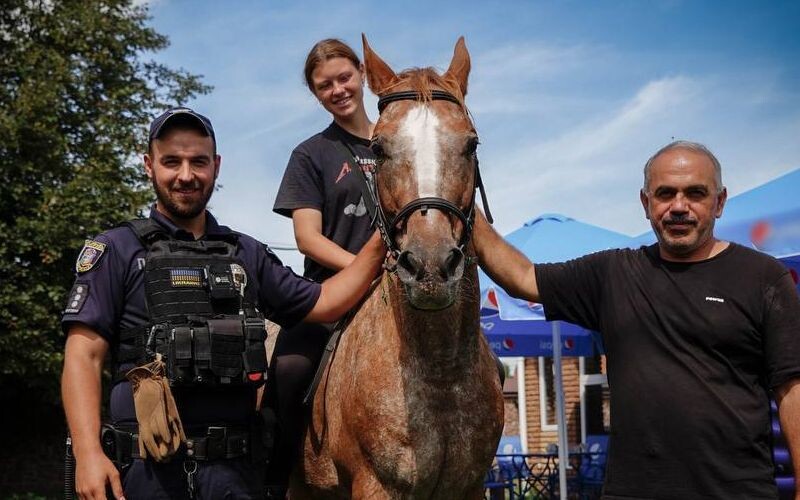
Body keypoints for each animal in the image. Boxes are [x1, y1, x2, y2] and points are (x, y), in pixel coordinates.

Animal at [292, 34, 506, 496]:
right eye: (378, 148)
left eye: (471, 144)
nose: (430, 267)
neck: (439, 370)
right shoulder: (375, 485)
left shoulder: (470, 486)